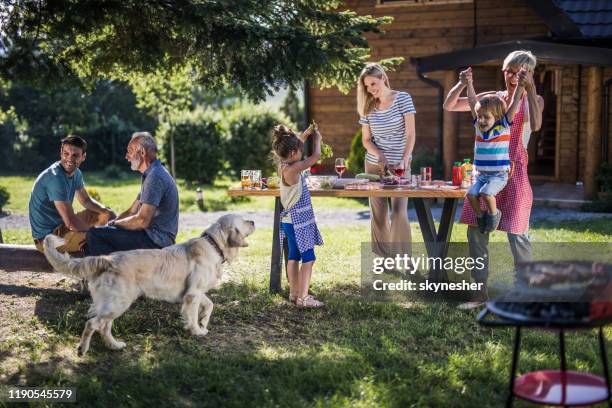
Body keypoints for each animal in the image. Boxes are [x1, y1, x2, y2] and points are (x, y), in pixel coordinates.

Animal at [42, 215, 253, 356]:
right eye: (243, 220)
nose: (253, 222)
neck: (213, 245)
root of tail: (107, 258)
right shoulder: (193, 294)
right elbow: (193, 315)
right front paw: (196, 330)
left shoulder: (195, 292)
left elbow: (210, 305)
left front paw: (203, 323)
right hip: (118, 303)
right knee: (92, 324)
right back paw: (82, 349)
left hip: (113, 304)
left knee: (103, 327)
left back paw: (114, 346)